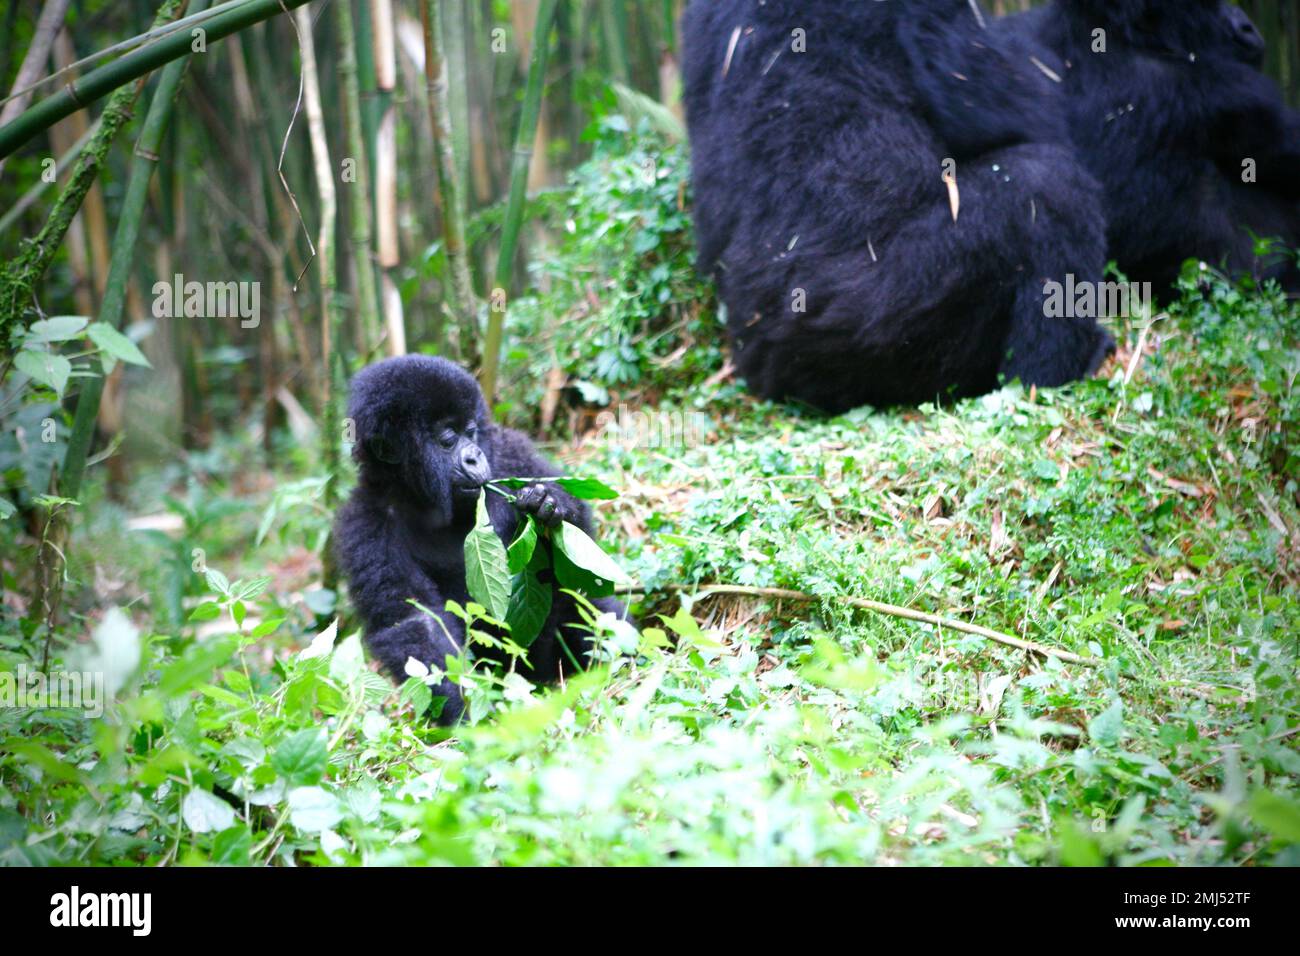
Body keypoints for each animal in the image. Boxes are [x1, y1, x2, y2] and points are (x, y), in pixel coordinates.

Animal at [332, 356, 621, 723]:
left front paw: (551, 505)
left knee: (584, 594)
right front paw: (467, 712)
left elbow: (578, 550)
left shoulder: (510, 453)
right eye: (447, 439)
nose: (474, 456)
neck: (421, 498)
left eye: (470, 432)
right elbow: (415, 620)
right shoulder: (364, 525)